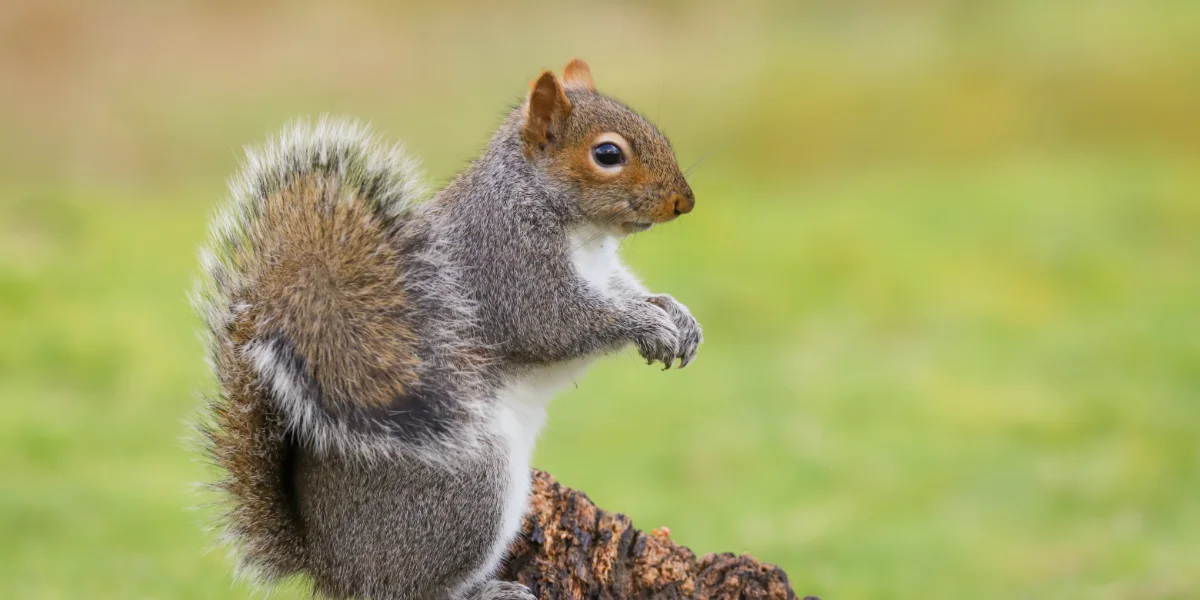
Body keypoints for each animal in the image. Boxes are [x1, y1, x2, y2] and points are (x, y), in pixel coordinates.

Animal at [193, 59, 701, 600]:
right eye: (608, 154)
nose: (684, 202)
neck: (581, 230)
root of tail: (329, 567)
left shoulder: (604, 274)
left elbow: (628, 291)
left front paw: (675, 315)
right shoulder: (506, 262)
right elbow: (555, 324)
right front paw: (646, 324)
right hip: (468, 489)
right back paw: (490, 591)